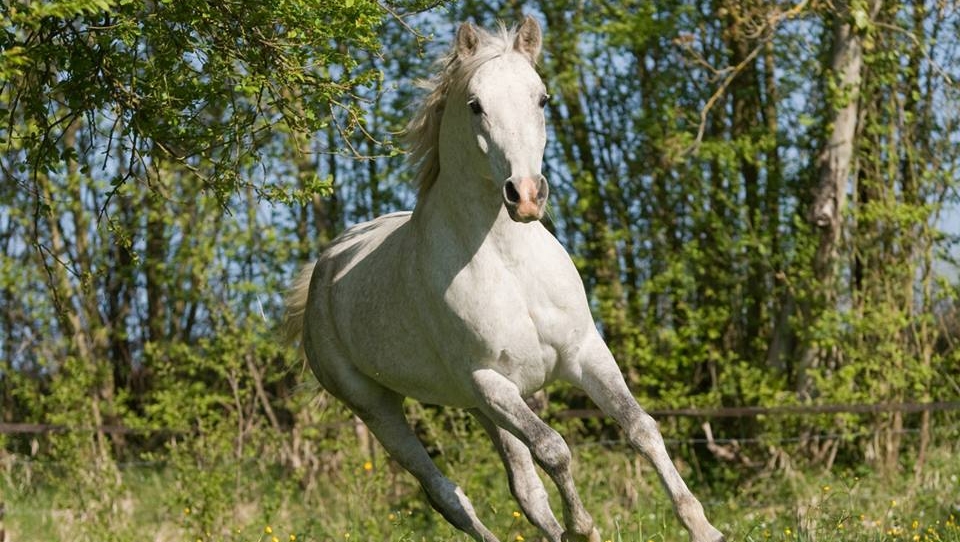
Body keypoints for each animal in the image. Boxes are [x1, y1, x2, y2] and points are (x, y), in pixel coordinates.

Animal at [284, 16, 724, 542]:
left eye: (542, 98)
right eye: (476, 105)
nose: (527, 195)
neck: (509, 265)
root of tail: (323, 270)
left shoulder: (583, 353)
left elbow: (641, 427)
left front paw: (703, 528)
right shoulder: (491, 381)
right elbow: (554, 448)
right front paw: (583, 528)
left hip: (476, 406)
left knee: (524, 489)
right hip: (381, 408)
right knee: (447, 494)